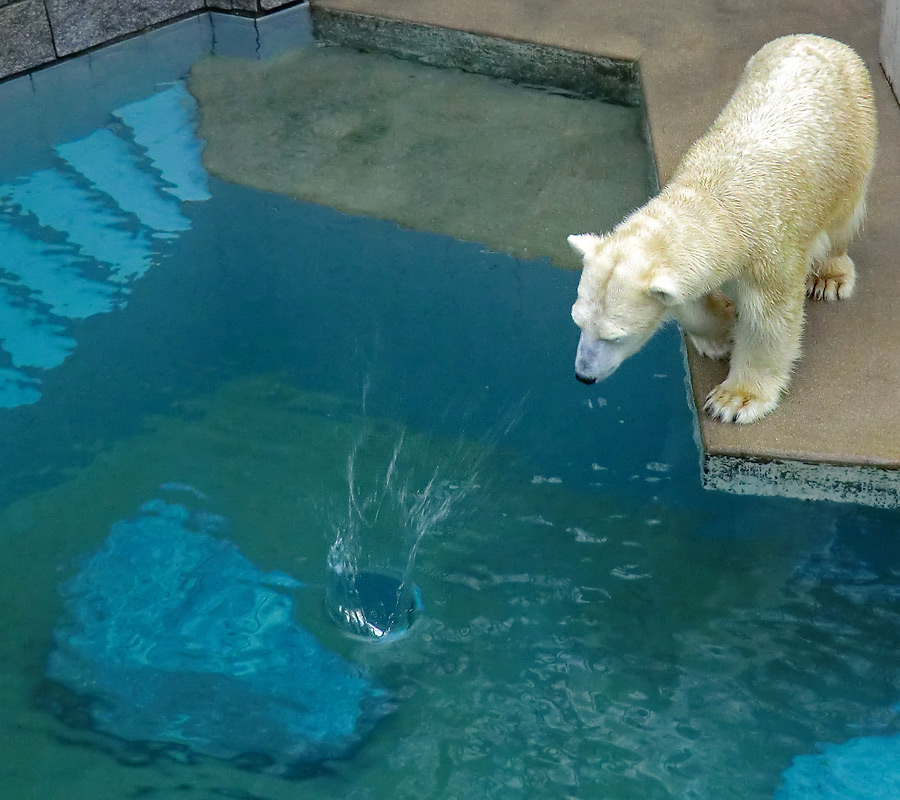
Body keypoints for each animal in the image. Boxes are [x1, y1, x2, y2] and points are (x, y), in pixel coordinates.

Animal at [572, 36, 876, 424]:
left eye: (615, 336)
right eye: (578, 321)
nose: (583, 376)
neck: (717, 203)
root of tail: (822, 40)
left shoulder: (771, 257)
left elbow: (769, 323)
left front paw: (735, 399)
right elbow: (691, 305)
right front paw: (720, 333)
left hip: (852, 140)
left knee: (842, 219)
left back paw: (830, 277)